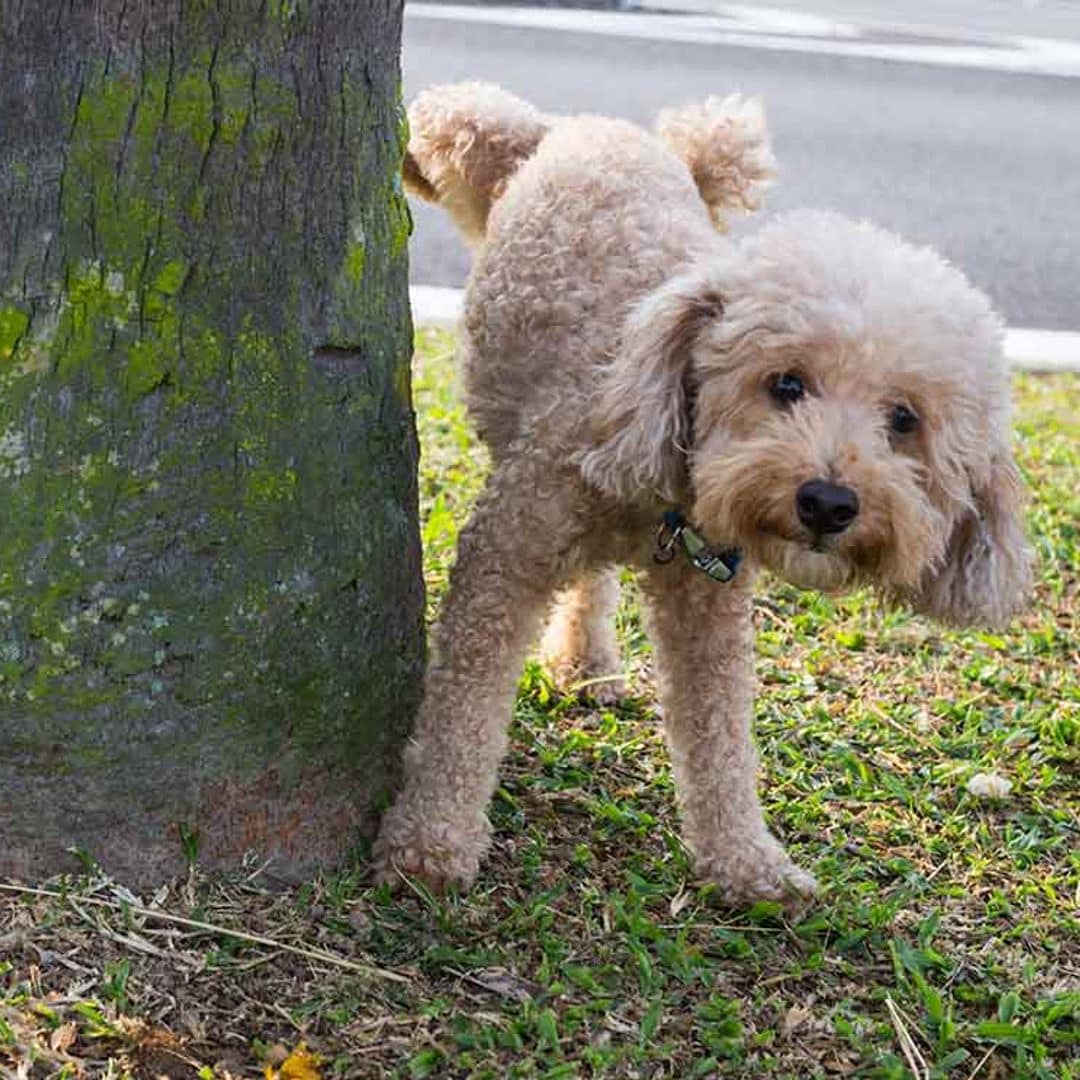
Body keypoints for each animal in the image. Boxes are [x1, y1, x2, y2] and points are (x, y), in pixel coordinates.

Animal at [375, 84, 1032, 907]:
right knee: (461, 112)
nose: (828, 503)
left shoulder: (708, 599)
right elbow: (464, 708)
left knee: (593, 583)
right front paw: (431, 839)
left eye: (904, 420)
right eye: (786, 383)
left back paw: (586, 662)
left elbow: (719, 735)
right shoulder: (506, 554)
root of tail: (603, 128)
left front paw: (746, 861)